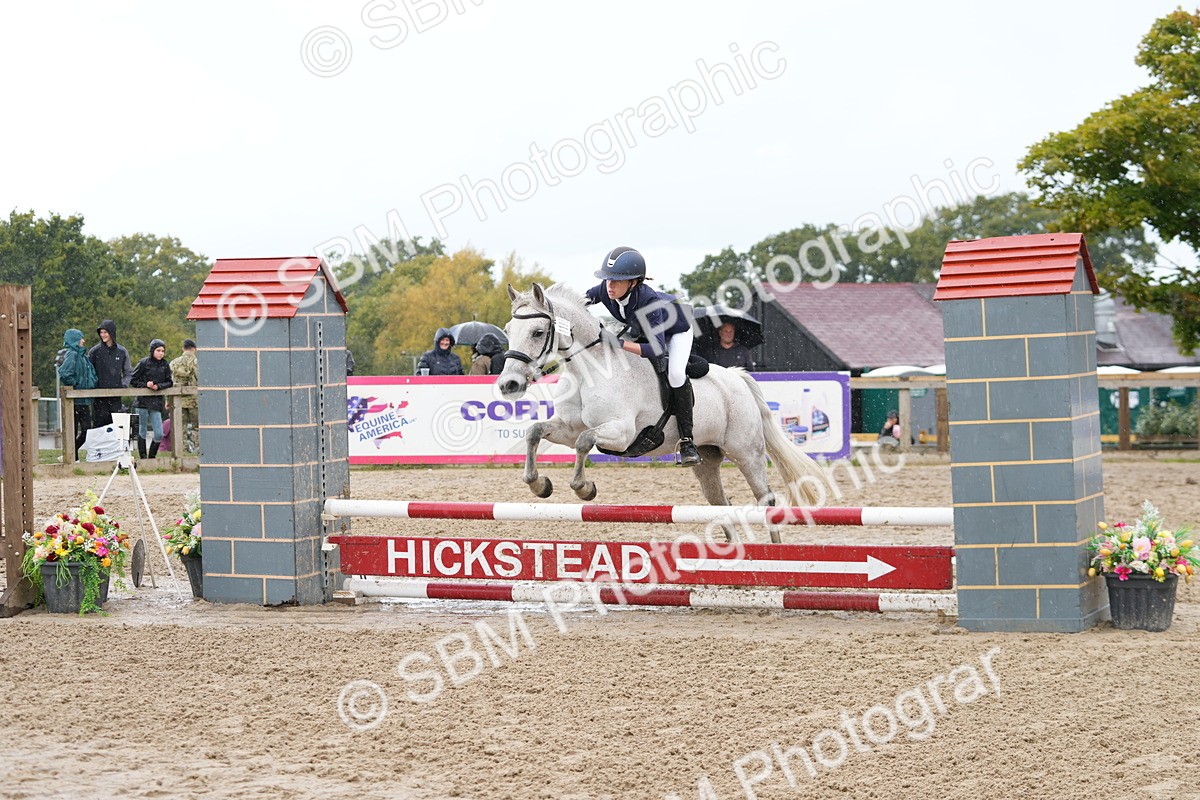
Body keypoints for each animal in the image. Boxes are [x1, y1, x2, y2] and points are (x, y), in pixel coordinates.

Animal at [498, 282, 831, 532]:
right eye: (508, 330)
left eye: (538, 333)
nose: (508, 385)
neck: (589, 371)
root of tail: (737, 377)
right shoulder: (566, 428)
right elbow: (535, 431)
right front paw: (539, 484)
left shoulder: (621, 432)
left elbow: (584, 441)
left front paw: (584, 487)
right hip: (708, 458)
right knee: (720, 506)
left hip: (747, 453)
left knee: (766, 502)